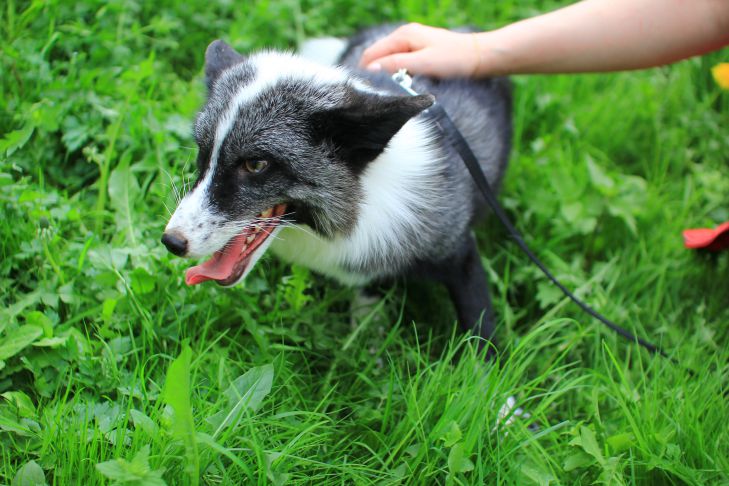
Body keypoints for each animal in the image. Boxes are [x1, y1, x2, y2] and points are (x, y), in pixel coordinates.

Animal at [161, 26, 512, 352]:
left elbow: (482, 336)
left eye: (256, 164)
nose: (171, 242)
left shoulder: (460, 253)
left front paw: (488, 377)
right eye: (203, 151)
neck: (363, 201)